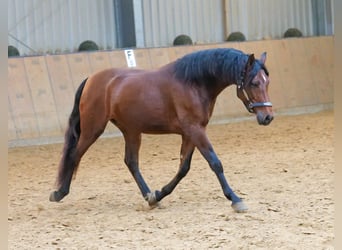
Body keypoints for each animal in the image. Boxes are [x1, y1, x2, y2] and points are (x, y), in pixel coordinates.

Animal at [48, 47, 272, 212]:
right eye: (254, 82)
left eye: (267, 82)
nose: (268, 117)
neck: (193, 82)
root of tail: (91, 79)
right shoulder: (195, 130)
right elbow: (215, 163)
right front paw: (235, 198)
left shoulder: (191, 133)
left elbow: (183, 168)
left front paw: (159, 194)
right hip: (93, 129)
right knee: (75, 155)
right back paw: (59, 193)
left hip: (131, 131)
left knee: (131, 162)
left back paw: (149, 196)